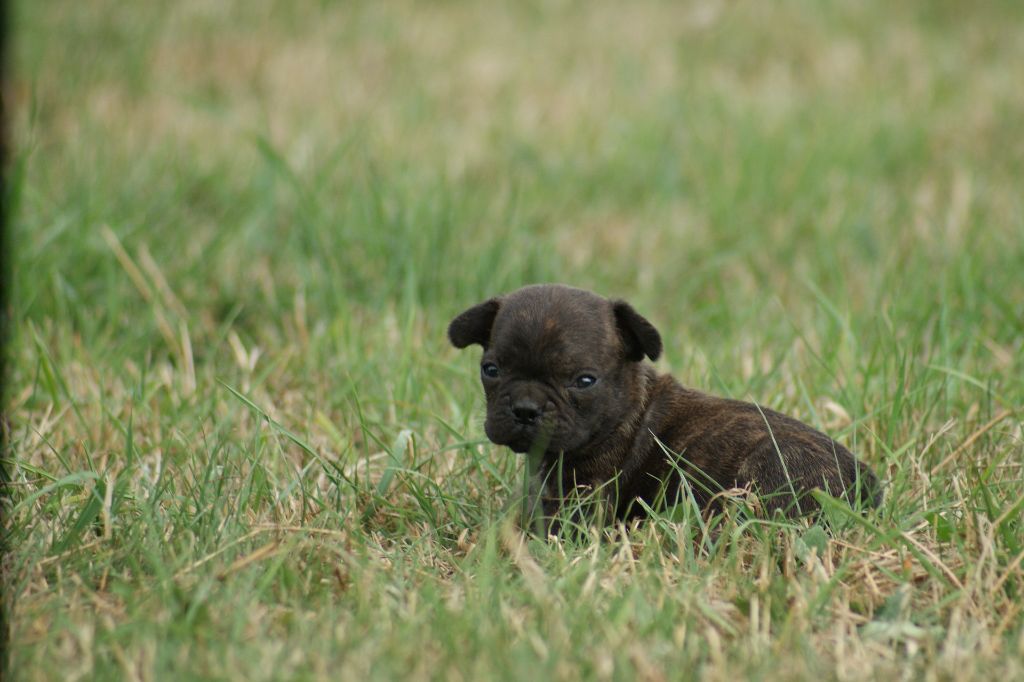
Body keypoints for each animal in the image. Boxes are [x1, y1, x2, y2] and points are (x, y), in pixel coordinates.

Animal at [448, 284, 880, 522]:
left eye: (584, 381)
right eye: (490, 370)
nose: (525, 407)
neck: (626, 411)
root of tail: (865, 485)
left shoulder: (582, 499)